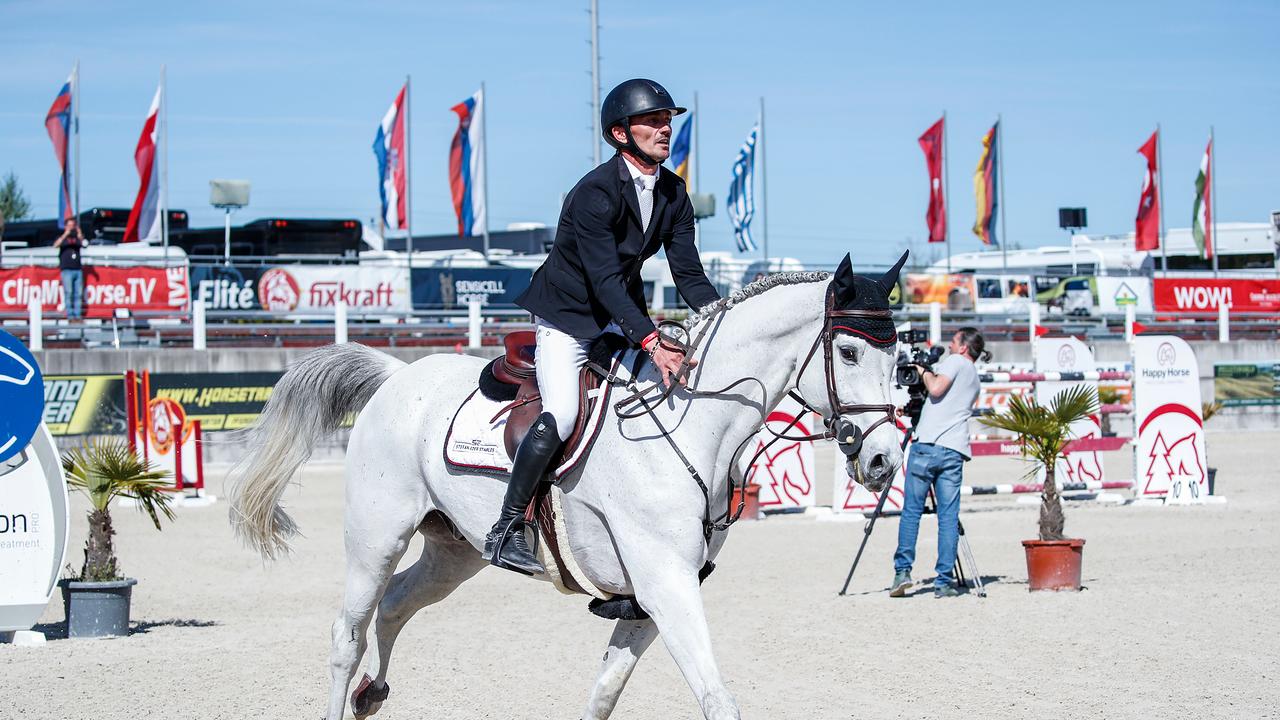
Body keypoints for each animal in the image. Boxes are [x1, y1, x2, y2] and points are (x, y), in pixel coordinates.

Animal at [232, 254, 911, 712]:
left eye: (900, 356)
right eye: (849, 353)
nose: (883, 460)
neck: (688, 423)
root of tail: (398, 373)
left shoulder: (652, 594)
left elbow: (605, 692)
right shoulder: (664, 583)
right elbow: (717, 697)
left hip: (453, 550)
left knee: (396, 604)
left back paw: (374, 694)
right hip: (377, 536)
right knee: (347, 632)